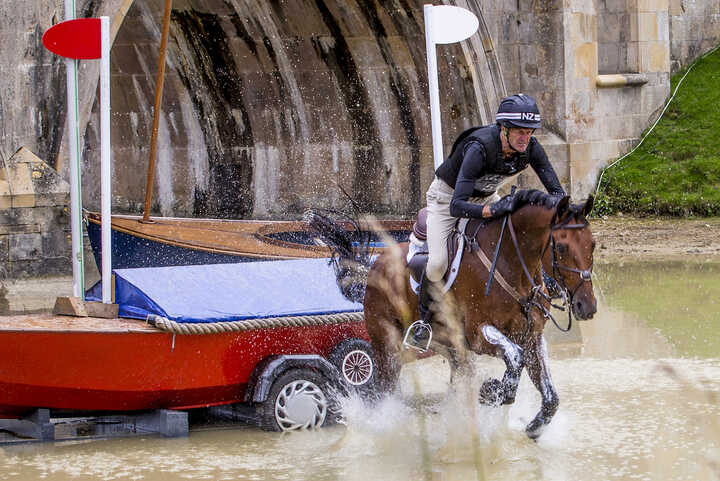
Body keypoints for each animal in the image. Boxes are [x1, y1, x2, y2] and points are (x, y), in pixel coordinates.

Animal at [304, 189, 596, 436]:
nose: (588, 306)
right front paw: (494, 391)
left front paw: (534, 425)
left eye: (592, 245)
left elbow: (547, 391)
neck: (511, 263)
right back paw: (389, 425)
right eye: (561, 247)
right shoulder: (477, 334)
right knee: (384, 391)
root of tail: (375, 265)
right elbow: (515, 357)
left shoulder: (531, 336)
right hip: (387, 346)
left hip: (449, 348)